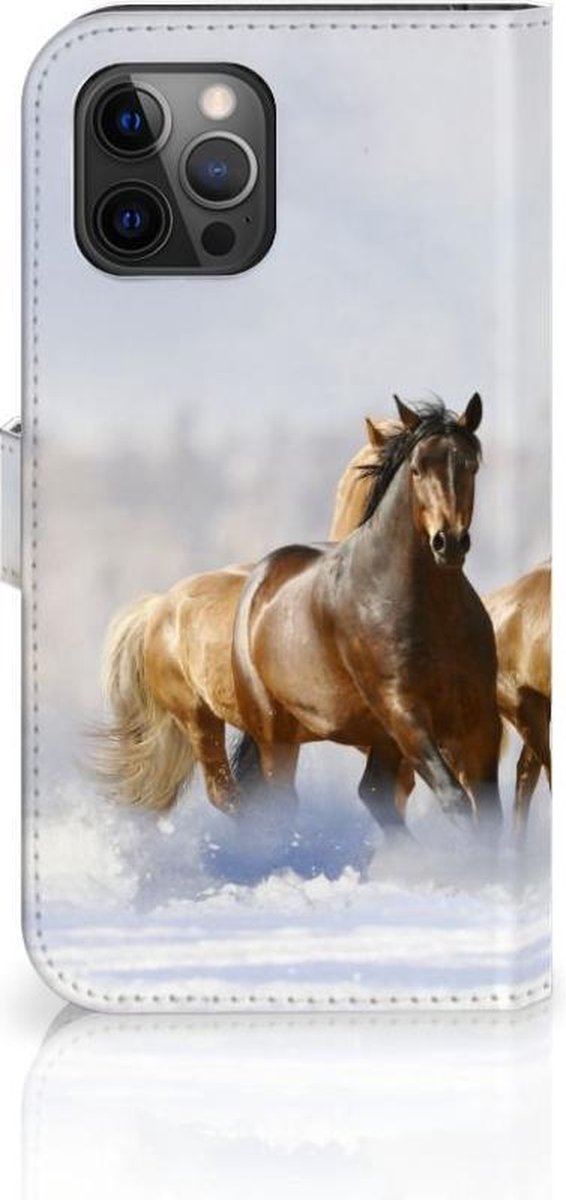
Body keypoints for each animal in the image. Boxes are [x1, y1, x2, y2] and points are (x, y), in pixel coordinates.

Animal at [231, 395, 502, 826]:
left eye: (470, 465)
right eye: (417, 468)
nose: (449, 542)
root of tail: (261, 578)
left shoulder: (479, 717)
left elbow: (490, 813)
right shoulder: (404, 712)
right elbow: (454, 797)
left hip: (378, 739)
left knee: (374, 793)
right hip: (276, 733)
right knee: (282, 803)